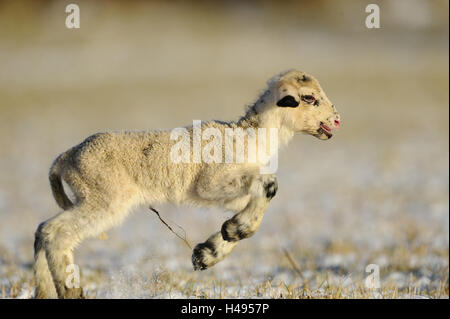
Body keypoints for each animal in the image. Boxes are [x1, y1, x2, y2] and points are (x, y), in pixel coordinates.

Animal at [33, 69, 342, 298]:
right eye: (310, 98)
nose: (337, 121)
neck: (249, 137)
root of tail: (67, 156)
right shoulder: (211, 183)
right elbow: (269, 186)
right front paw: (232, 232)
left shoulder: (234, 195)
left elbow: (253, 209)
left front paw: (210, 251)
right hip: (104, 198)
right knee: (55, 232)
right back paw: (71, 292)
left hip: (91, 197)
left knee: (41, 230)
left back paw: (43, 291)